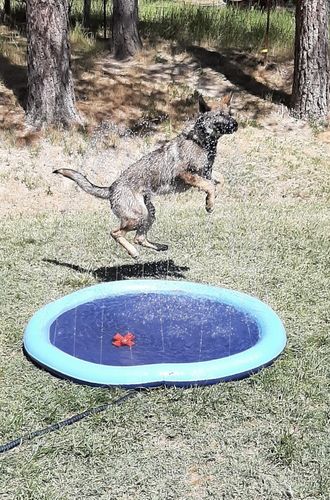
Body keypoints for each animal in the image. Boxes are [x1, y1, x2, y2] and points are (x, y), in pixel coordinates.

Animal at [54, 94, 240, 260]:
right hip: (138, 216)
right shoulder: (186, 174)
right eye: (220, 115)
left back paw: (158, 247)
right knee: (116, 233)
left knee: (138, 237)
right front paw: (209, 204)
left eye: (230, 113)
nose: (236, 124)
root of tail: (112, 188)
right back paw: (133, 252)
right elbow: (209, 185)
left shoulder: (207, 173)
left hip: (149, 213)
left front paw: (212, 199)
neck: (201, 141)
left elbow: (219, 181)